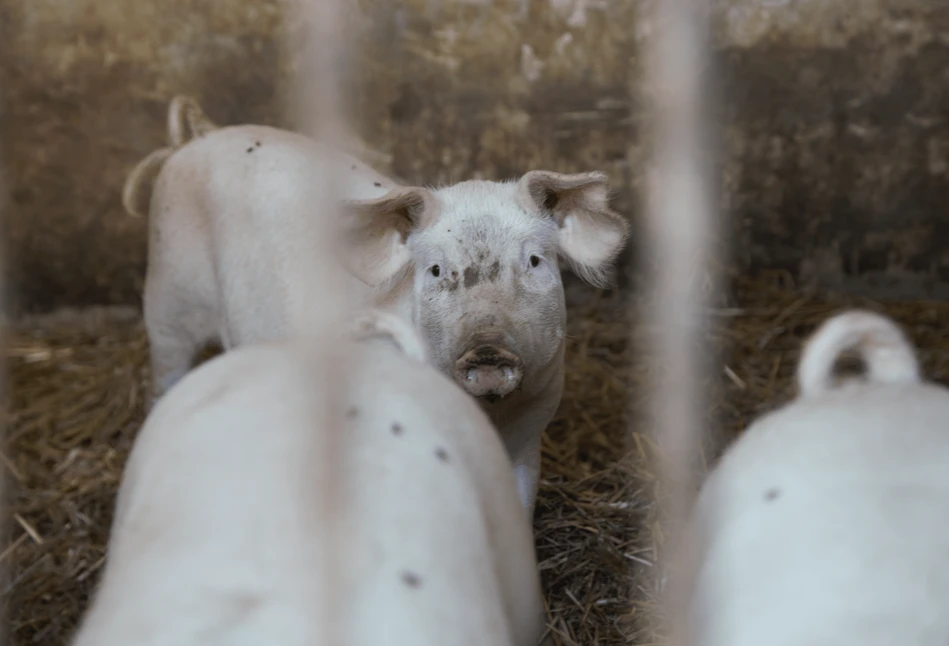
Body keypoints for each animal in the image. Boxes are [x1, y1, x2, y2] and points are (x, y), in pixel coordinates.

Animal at [124, 96, 628, 520]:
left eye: (535, 261)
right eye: (436, 270)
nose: (486, 349)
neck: (489, 416)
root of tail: (194, 140)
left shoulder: (530, 430)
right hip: (167, 300)